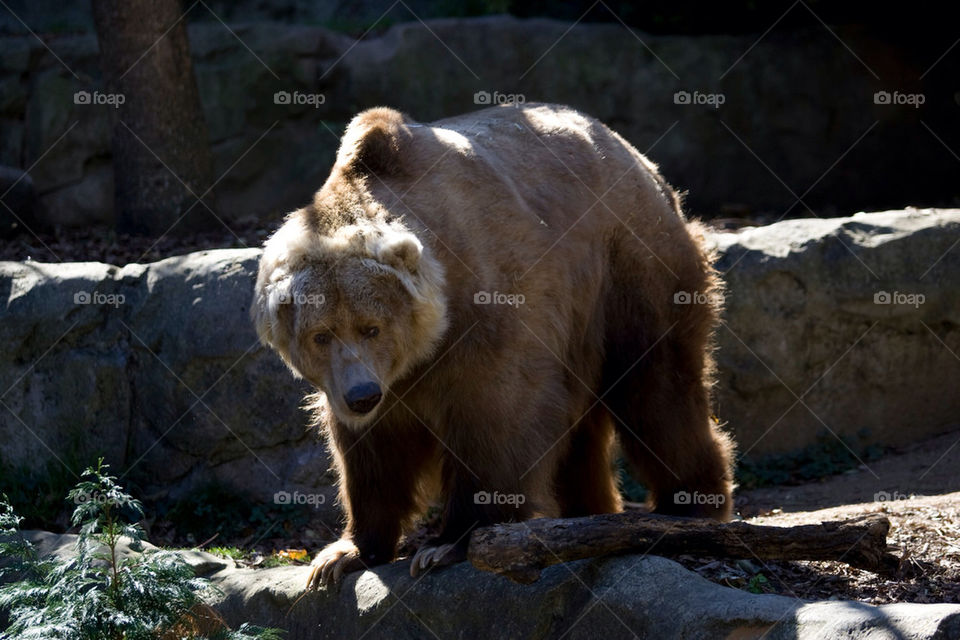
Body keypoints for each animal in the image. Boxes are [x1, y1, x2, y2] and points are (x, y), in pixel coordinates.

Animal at [251, 103, 735, 590]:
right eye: (321, 335)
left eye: (371, 327)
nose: (362, 395)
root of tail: (637, 158)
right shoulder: (372, 383)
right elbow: (372, 452)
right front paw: (342, 555)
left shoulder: (488, 312)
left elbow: (496, 417)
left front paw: (447, 544)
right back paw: (587, 512)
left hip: (628, 268)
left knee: (656, 386)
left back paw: (689, 505)